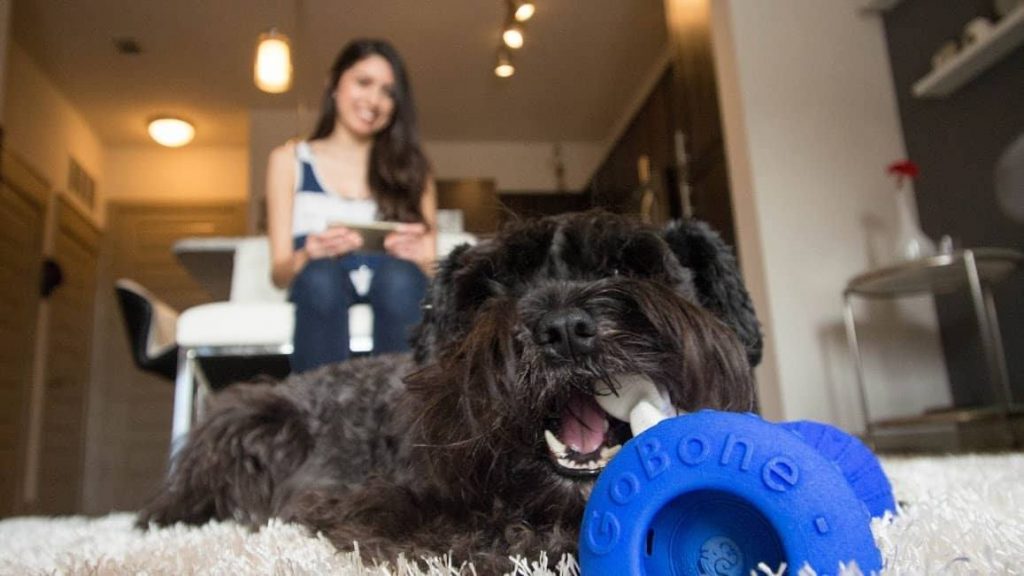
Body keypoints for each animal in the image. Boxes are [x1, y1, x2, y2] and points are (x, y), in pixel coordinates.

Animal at [138, 210, 761, 569]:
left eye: (628, 265)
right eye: (492, 288)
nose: (563, 329)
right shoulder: (362, 501)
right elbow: (469, 526)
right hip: (254, 419)